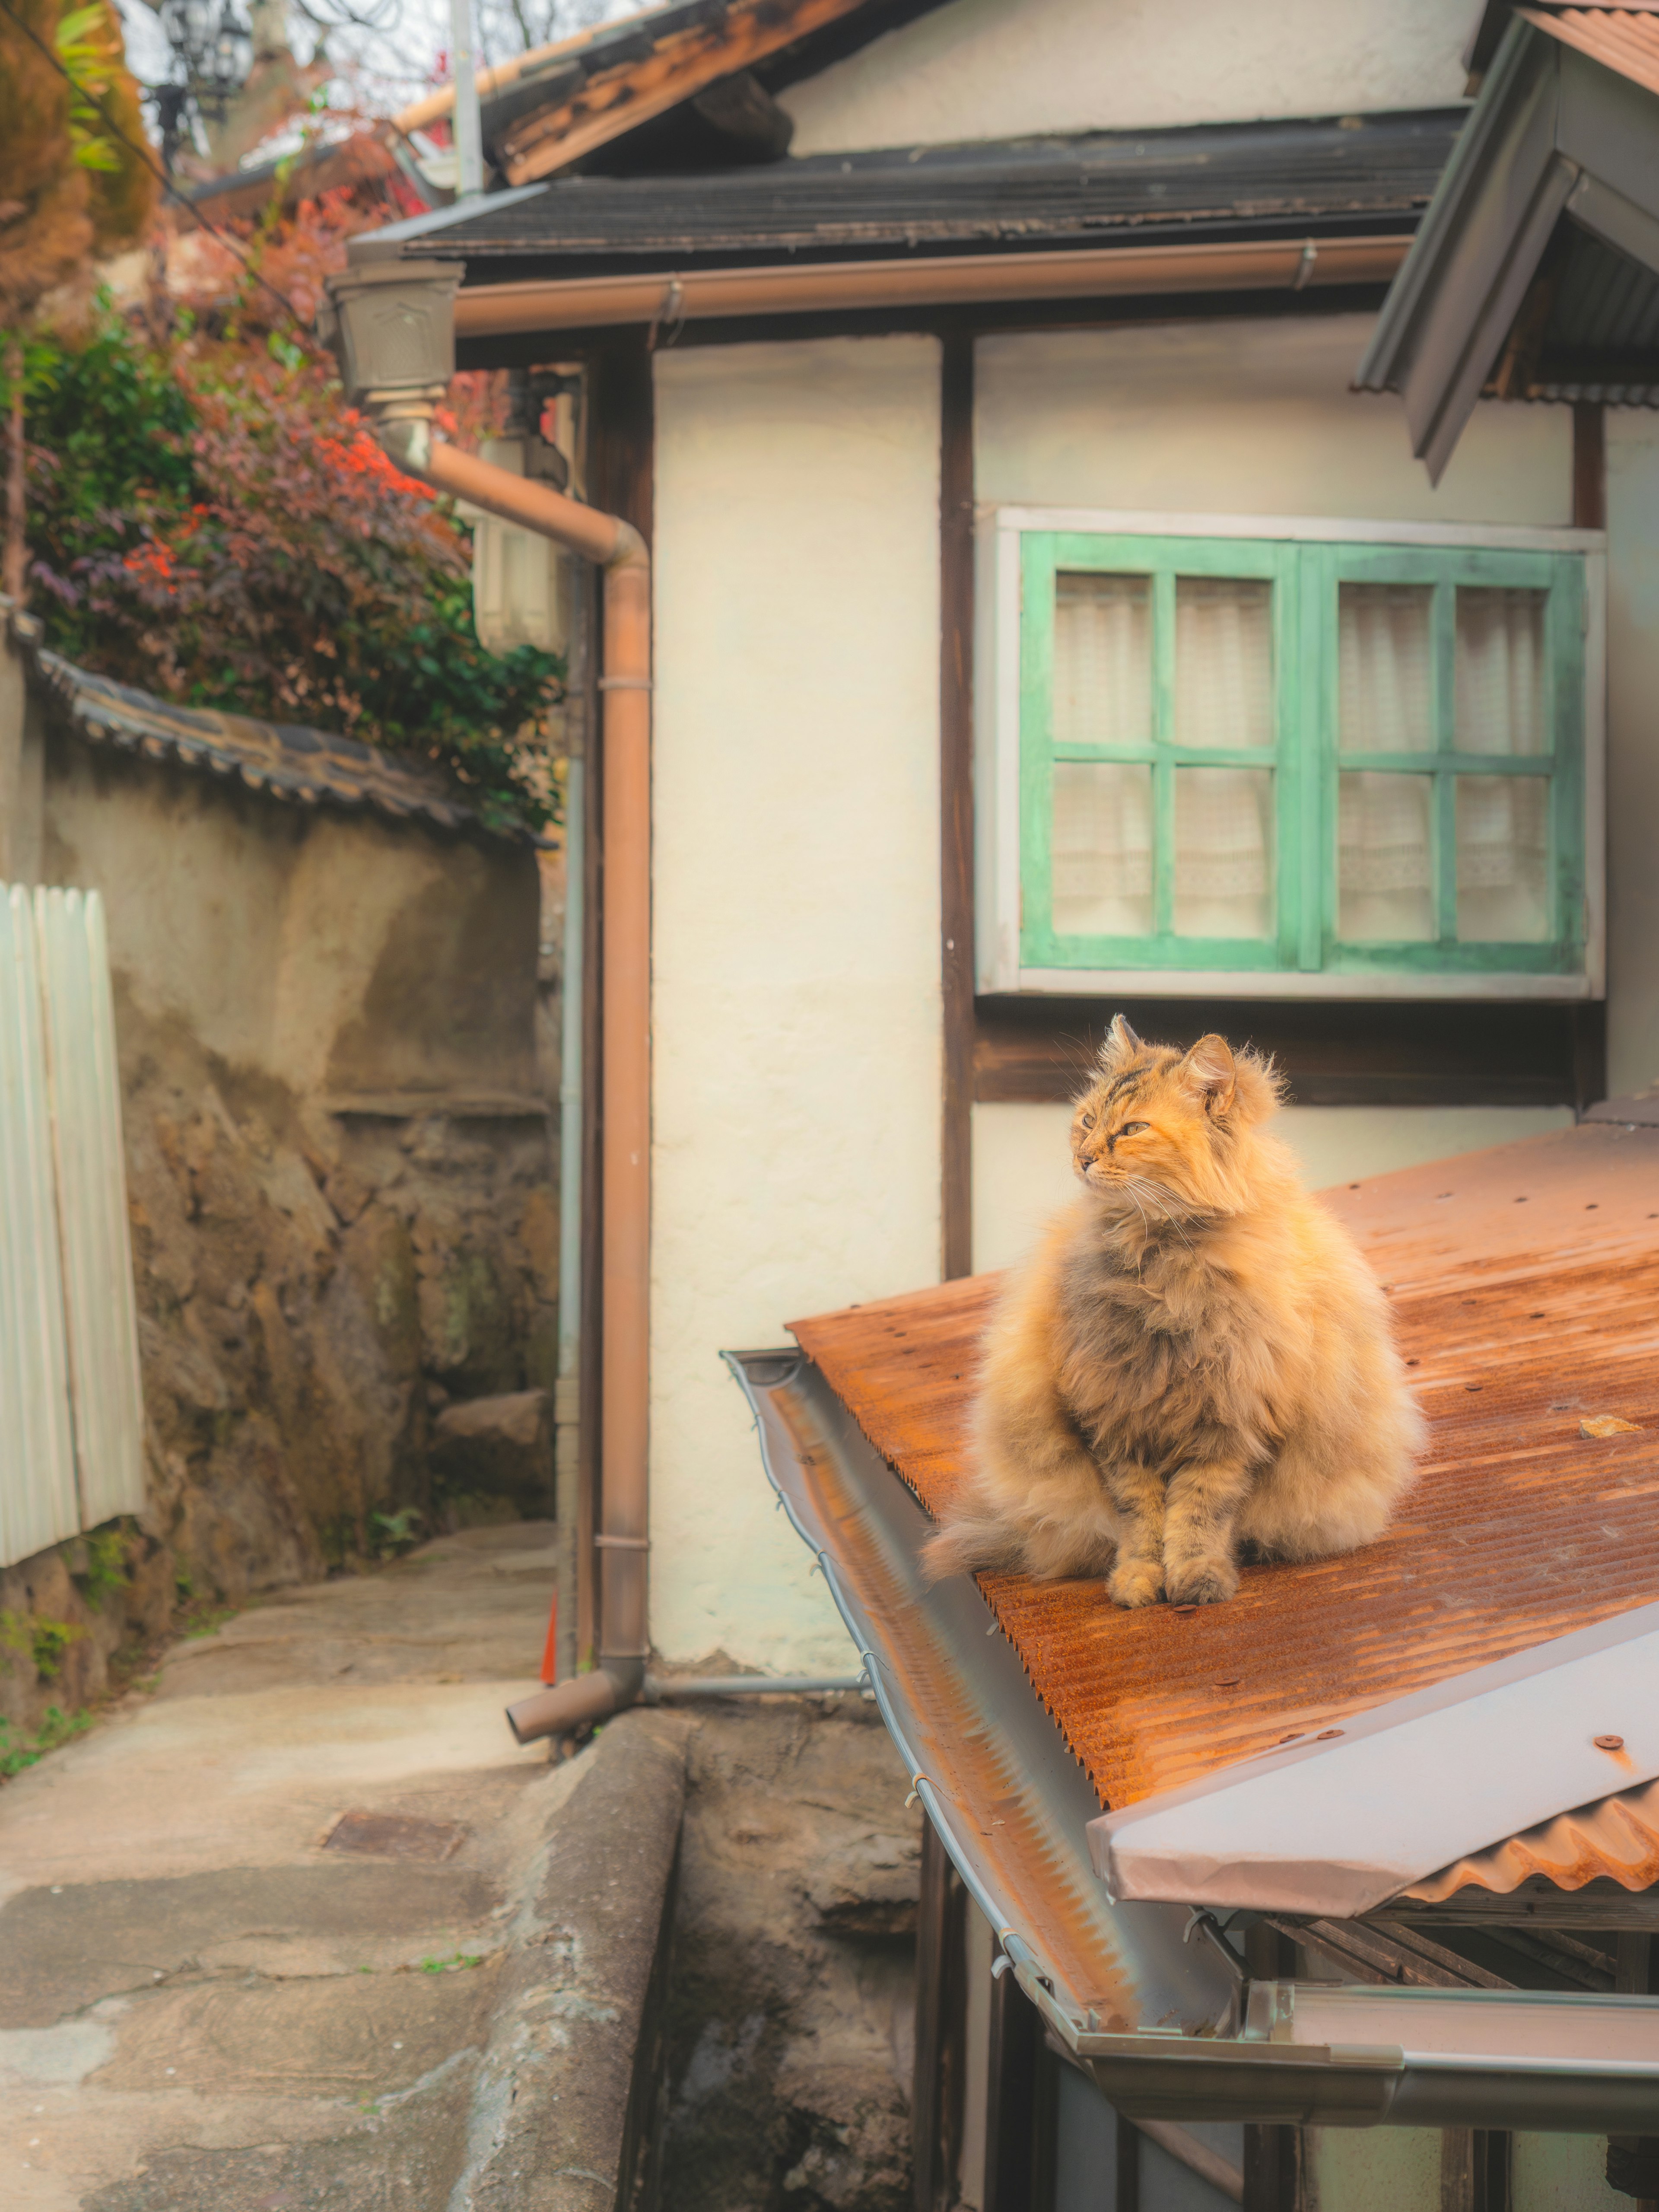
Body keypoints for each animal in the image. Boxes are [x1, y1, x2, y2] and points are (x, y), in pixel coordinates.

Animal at [929, 1017, 1424, 1610]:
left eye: (1133, 1129)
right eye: (1088, 1121)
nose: (1084, 1157)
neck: (1163, 1262)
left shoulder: (1230, 1424)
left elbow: (1200, 1515)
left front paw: (1197, 1580)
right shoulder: (1118, 1423)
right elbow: (1140, 1519)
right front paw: (1140, 1582)